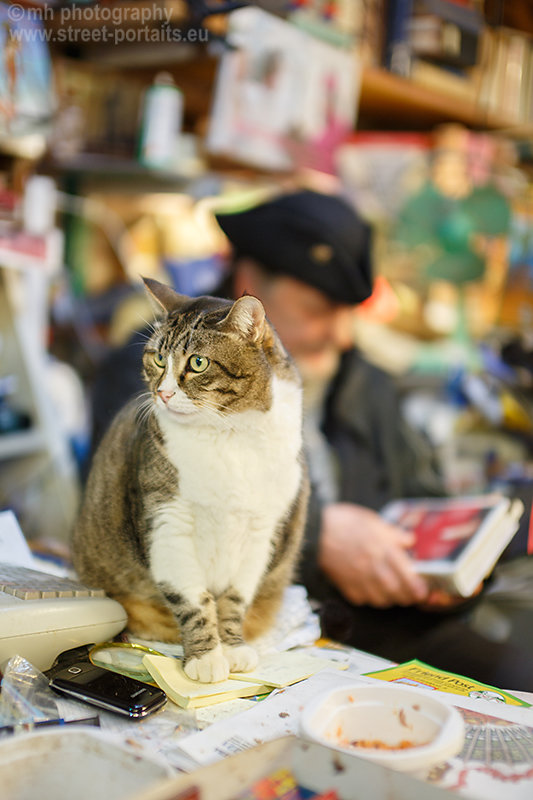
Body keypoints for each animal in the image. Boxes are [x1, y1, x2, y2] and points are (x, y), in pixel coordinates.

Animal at [71, 280, 308, 680]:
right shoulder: (169, 524)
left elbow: (233, 600)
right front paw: (206, 658)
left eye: (198, 363)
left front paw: (233, 647)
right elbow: (195, 600)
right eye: (157, 359)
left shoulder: (261, 534)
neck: (230, 435)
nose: (163, 394)